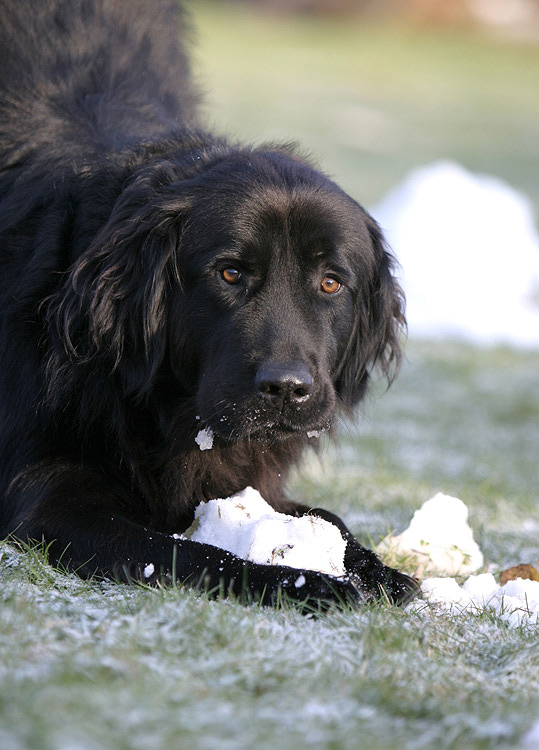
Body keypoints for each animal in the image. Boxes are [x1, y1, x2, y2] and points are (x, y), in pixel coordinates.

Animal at [0, 0, 418, 608]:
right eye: (230, 273)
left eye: (330, 283)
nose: (288, 390)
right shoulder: (48, 499)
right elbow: (189, 555)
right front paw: (310, 584)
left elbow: (330, 519)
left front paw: (381, 571)